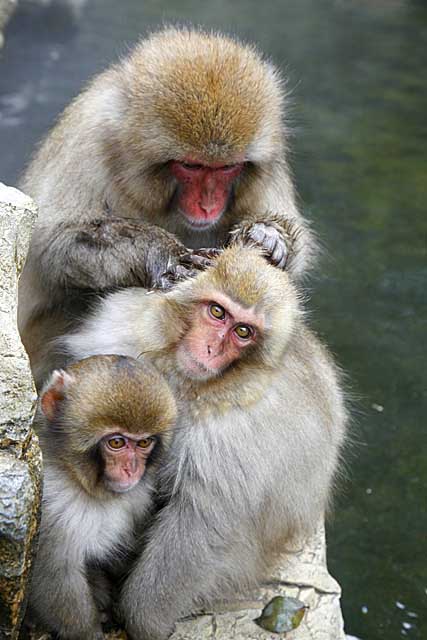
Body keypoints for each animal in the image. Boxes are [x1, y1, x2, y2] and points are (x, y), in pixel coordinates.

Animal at [18, 27, 316, 388]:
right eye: (190, 166)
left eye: (226, 168)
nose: (207, 206)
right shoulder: (88, 137)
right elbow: (53, 244)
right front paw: (162, 252)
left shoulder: (272, 154)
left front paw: (269, 236)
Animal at [26, 356, 177, 640]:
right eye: (116, 443)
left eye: (144, 443)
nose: (131, 468)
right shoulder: (51, 505)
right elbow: (54, 578)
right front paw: (89, 631)